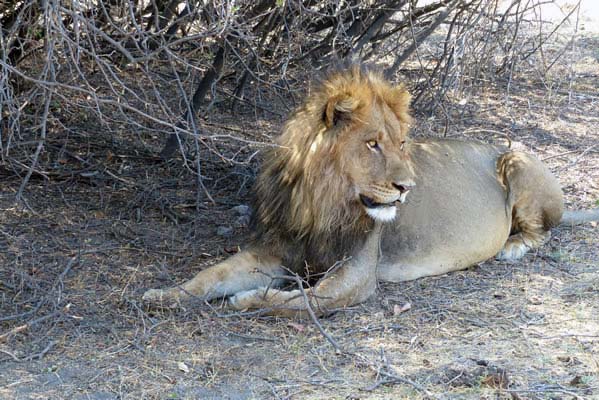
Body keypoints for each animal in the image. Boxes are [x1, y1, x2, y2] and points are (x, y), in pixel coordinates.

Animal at [144, 65, 599, 316]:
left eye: (402, 143)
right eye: (372, 144)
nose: (408, 186)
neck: (323, 202)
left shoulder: (357, 274)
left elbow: (302, 301)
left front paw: (247, 299)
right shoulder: (274, 250)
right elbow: (211, 275)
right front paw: (164, 295)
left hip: (518, 159)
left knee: (543, 230)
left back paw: (512, 246)